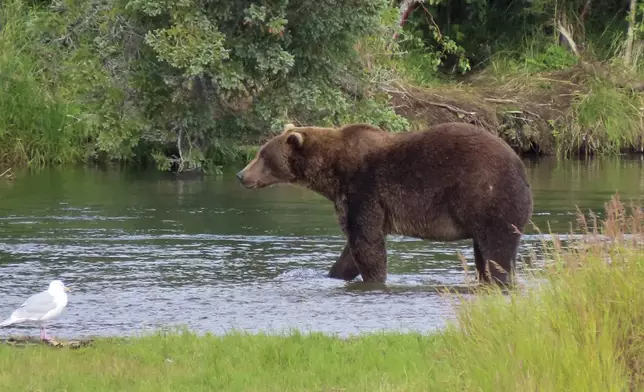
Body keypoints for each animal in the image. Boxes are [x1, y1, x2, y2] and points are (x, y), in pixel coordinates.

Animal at [236, 121, 532, 284]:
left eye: (263, 155)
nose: (241, 175)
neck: (332, 172)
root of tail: (520, 164)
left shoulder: (364, 190)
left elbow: (366, 243)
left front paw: (374, 279)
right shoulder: (352, 199)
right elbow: (351, 248)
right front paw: (333, 273)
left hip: (490, 196)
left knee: (497, 250)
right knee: (483, 252)